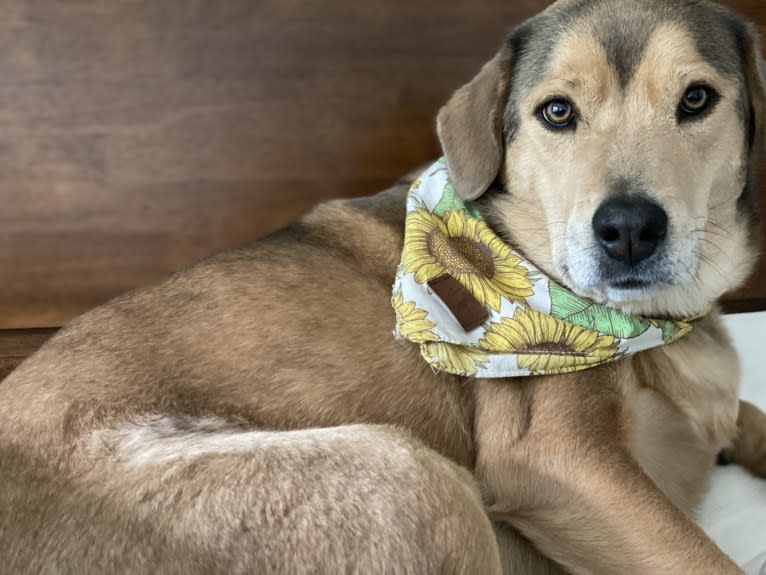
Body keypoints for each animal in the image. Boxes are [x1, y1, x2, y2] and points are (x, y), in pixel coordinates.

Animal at [1, 0, 766, 572]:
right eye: (557, 112)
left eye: (696, 99)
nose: (629, 229)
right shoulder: (559, 460)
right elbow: (702, 559)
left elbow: (747, 414)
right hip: (415, 479)